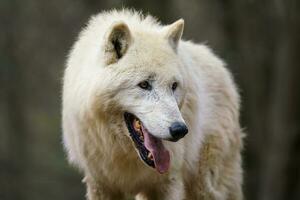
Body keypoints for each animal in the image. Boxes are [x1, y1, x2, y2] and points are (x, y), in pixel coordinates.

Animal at [62, 9, 243, 200]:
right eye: (144, 84)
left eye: (174, 86)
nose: (180, 130)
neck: (123, 153)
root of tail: (219, 64)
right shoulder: (100, 184)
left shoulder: (168, 183)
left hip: (205, 185)